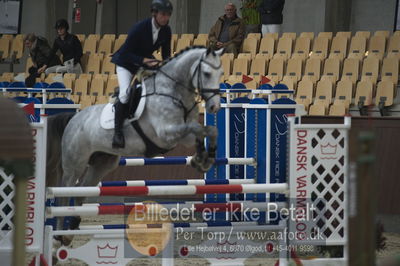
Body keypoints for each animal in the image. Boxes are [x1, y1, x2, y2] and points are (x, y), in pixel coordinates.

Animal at [46, 46, 225, 244]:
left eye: (221, 73)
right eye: (207, 73)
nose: (215, 107)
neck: (173, 92)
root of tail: (73, 118)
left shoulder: (182, 135)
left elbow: (208, 130)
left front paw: (203, 159)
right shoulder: (166, 134)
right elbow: (197, 128)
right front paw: (202, 159)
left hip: (102, 164)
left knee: (80, 193)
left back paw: (70, 232)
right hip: (74, 164)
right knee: (64, 195)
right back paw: (58, 235)